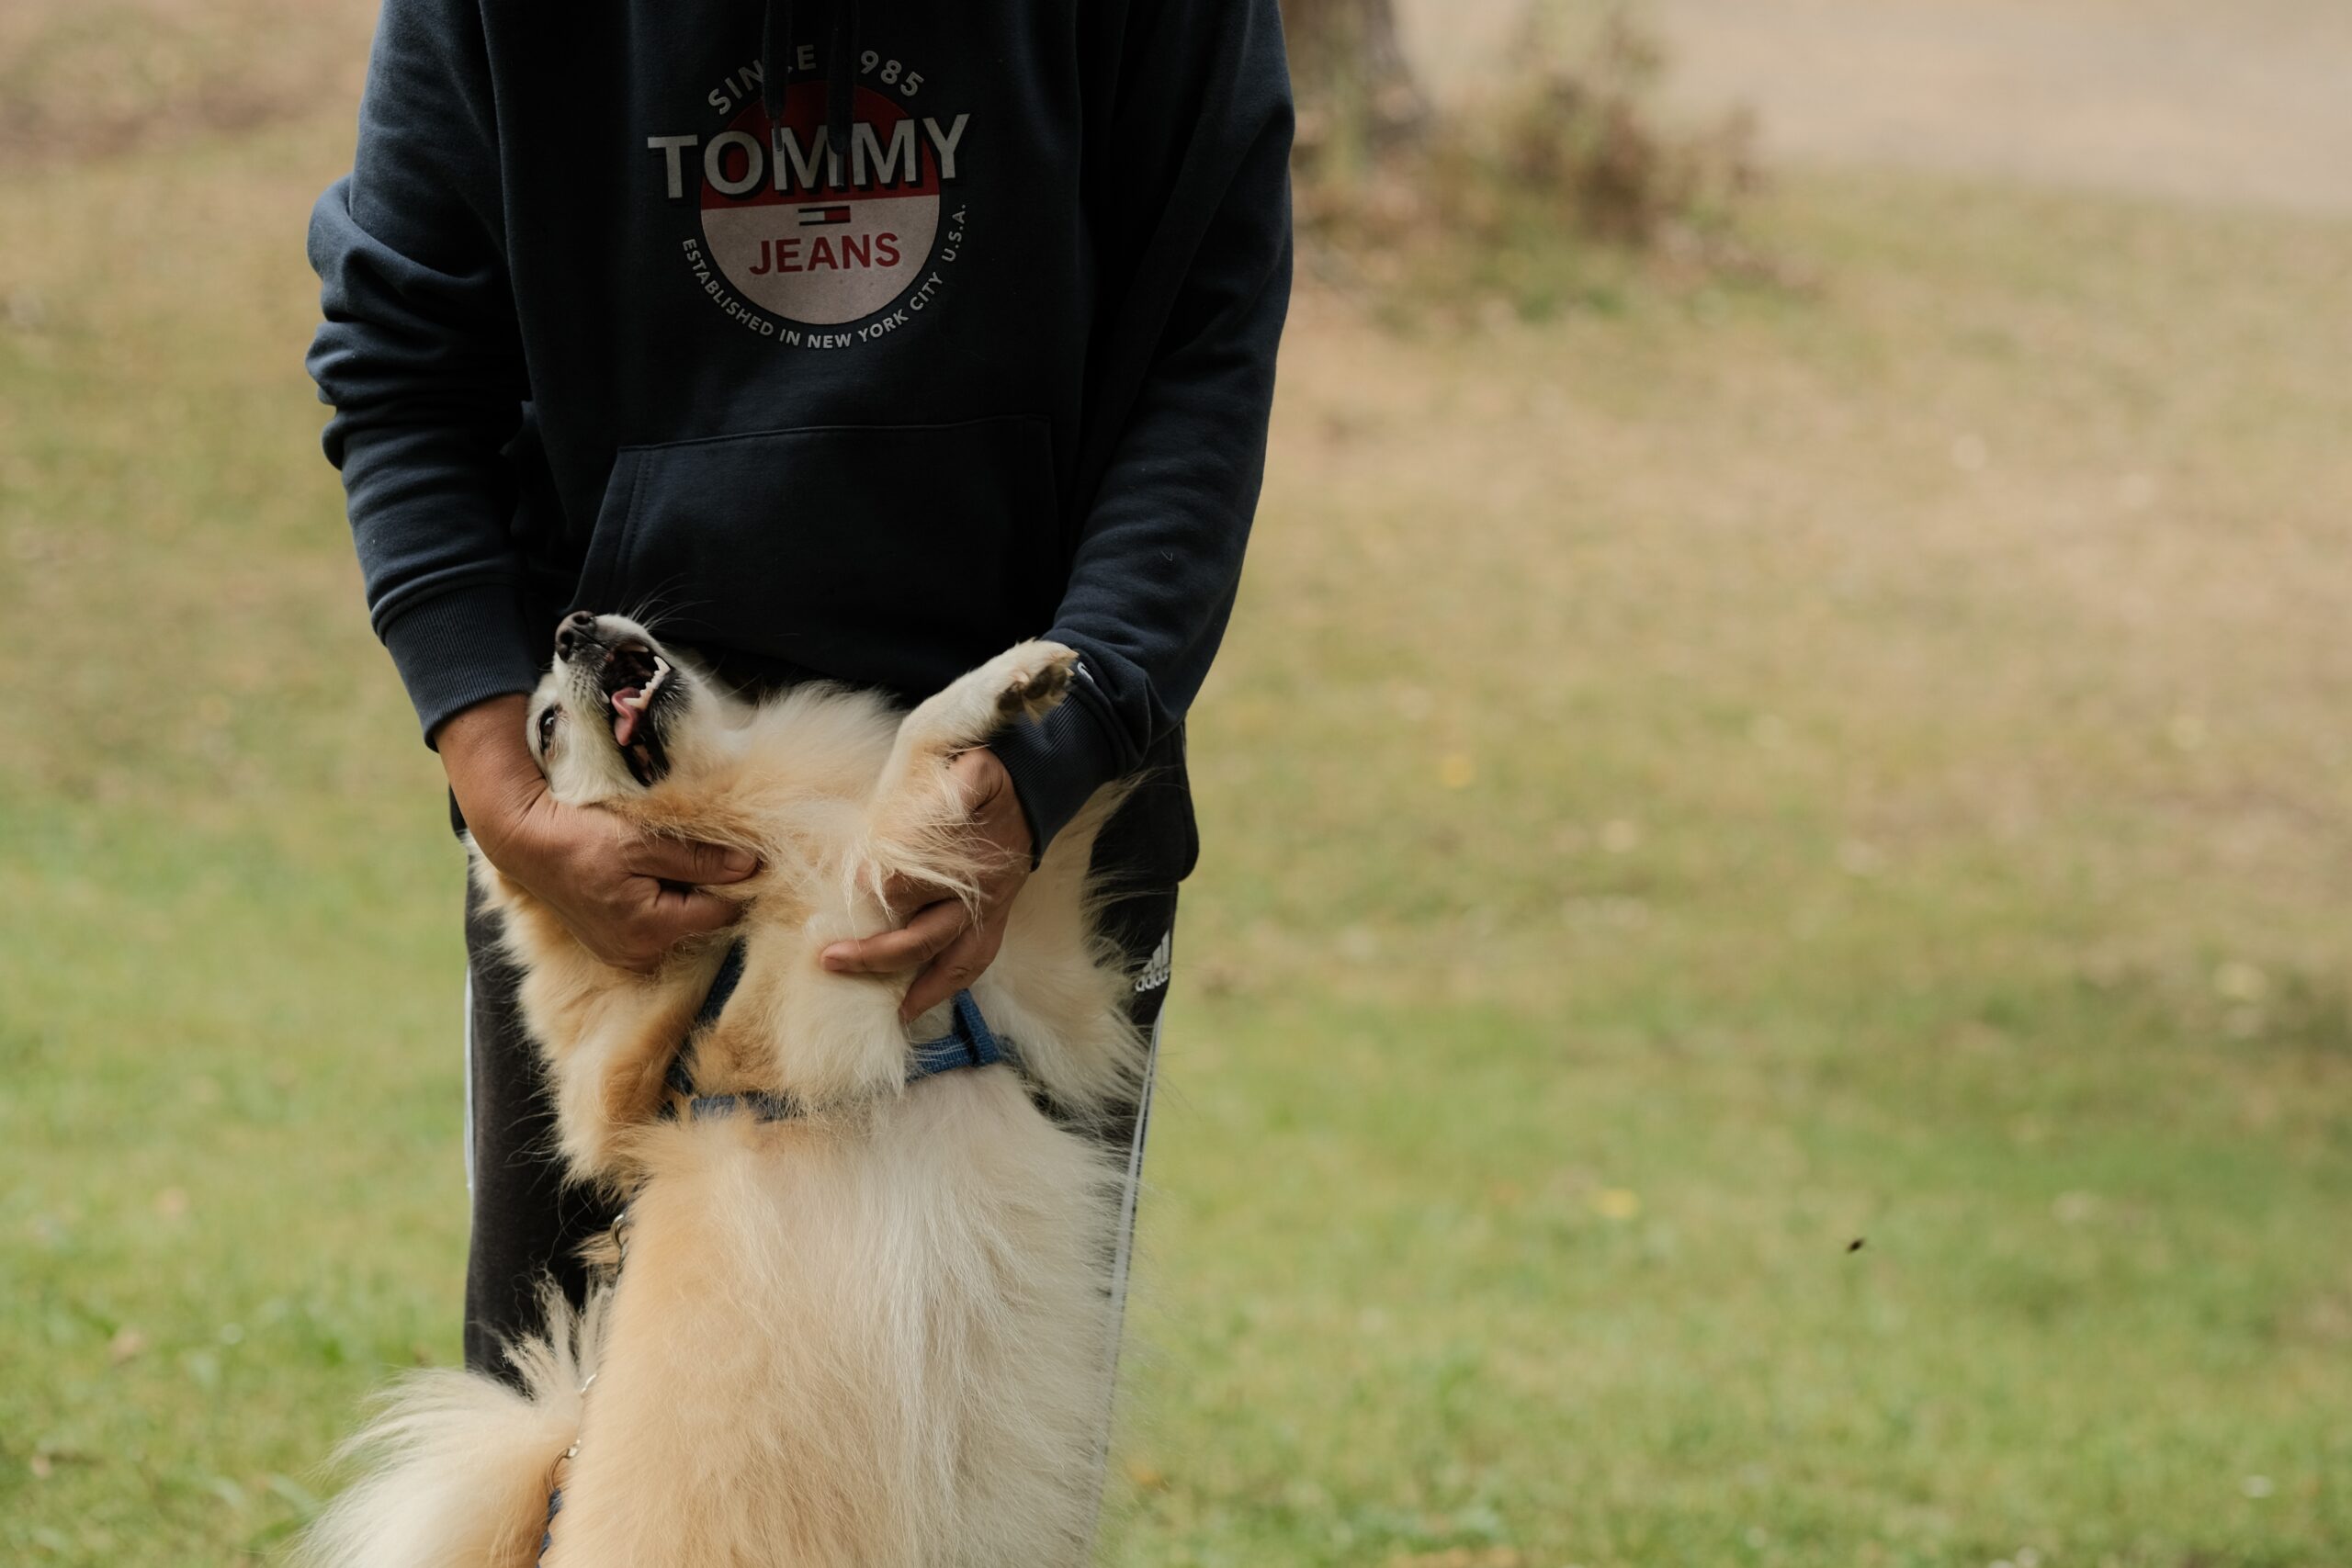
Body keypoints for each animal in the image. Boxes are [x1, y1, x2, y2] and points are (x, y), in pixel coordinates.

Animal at [299, 611, 1143, 1568]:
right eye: (545, 731)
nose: (572, 624)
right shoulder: (829, 979)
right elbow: (897, 784)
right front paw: (998, 687)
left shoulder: (1036, 978)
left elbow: (1031, 860)